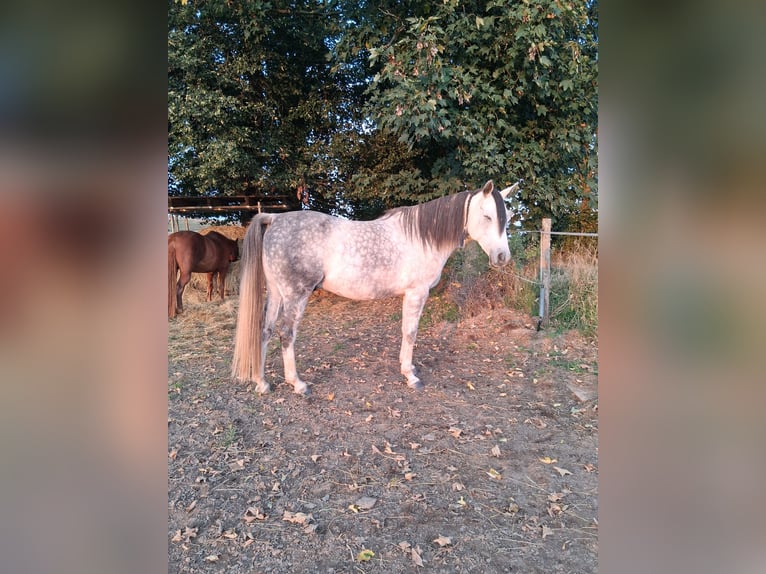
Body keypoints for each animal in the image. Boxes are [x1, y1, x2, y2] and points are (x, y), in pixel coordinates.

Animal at [232, 180, 518, 395]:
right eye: (487, 216)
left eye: (507, 218)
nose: (502, 257)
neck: (423, 238)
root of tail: (275, 218)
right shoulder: (417, 293)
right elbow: (411, 333)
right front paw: (410, 376)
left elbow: (405, 331)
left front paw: (407, 368)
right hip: (296, 294)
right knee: (286, 334)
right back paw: (297, 384)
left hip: (276, 292)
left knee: (265, 330)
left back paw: (262, 382)